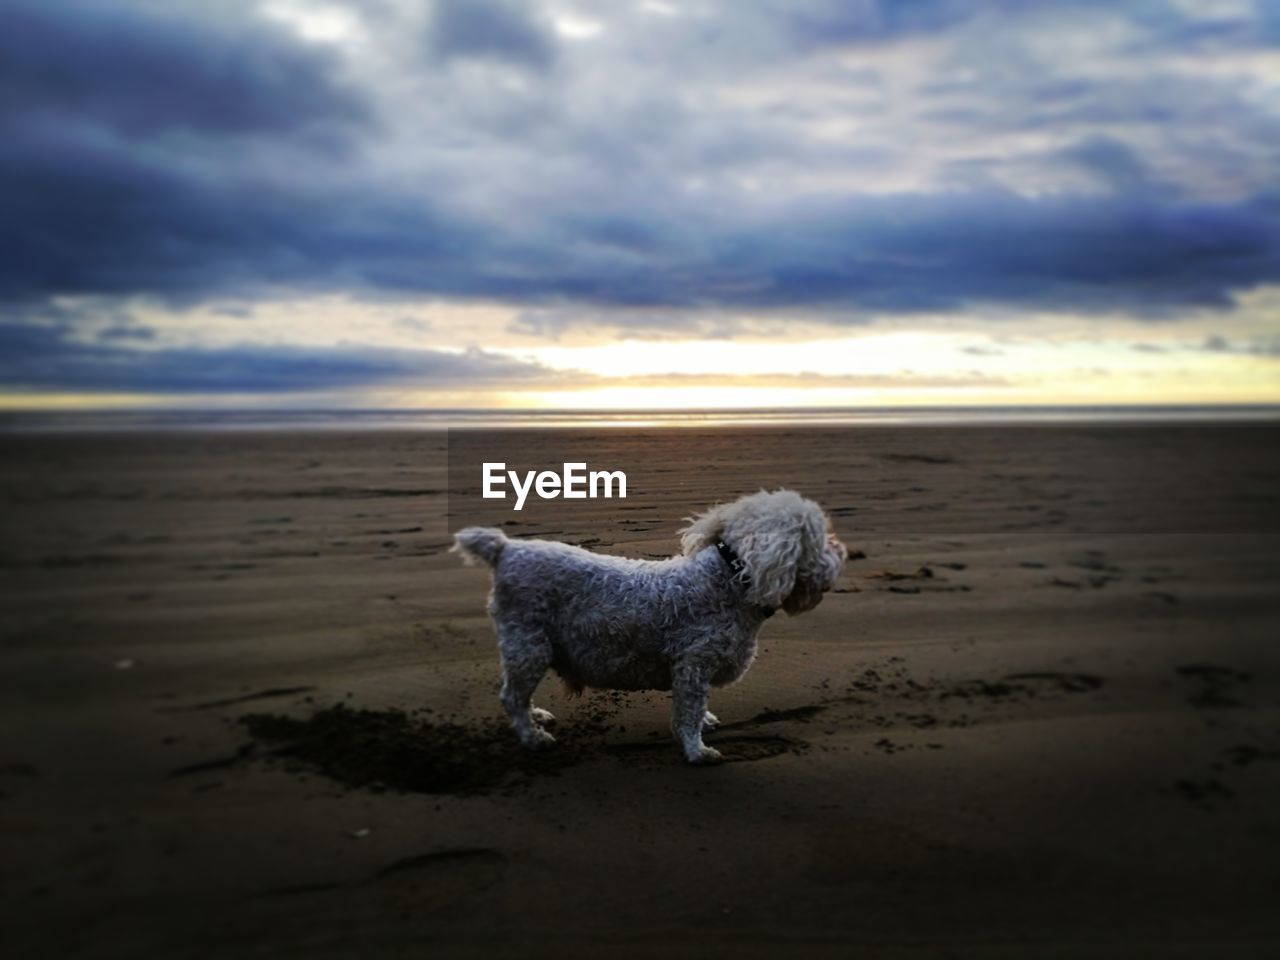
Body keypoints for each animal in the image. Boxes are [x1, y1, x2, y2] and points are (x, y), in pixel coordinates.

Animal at [453, 491, 849, 762]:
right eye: (819, 538)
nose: (843, 551)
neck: (727, 580)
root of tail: (506, 549)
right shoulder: (692, 665)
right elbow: (688, 713)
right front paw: (697, 751)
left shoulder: (695, 670)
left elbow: (698, 708)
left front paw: (706, 722)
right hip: (528, 644)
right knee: (511, 696)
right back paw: (532, 736)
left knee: (519, 694)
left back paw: (535, 716)